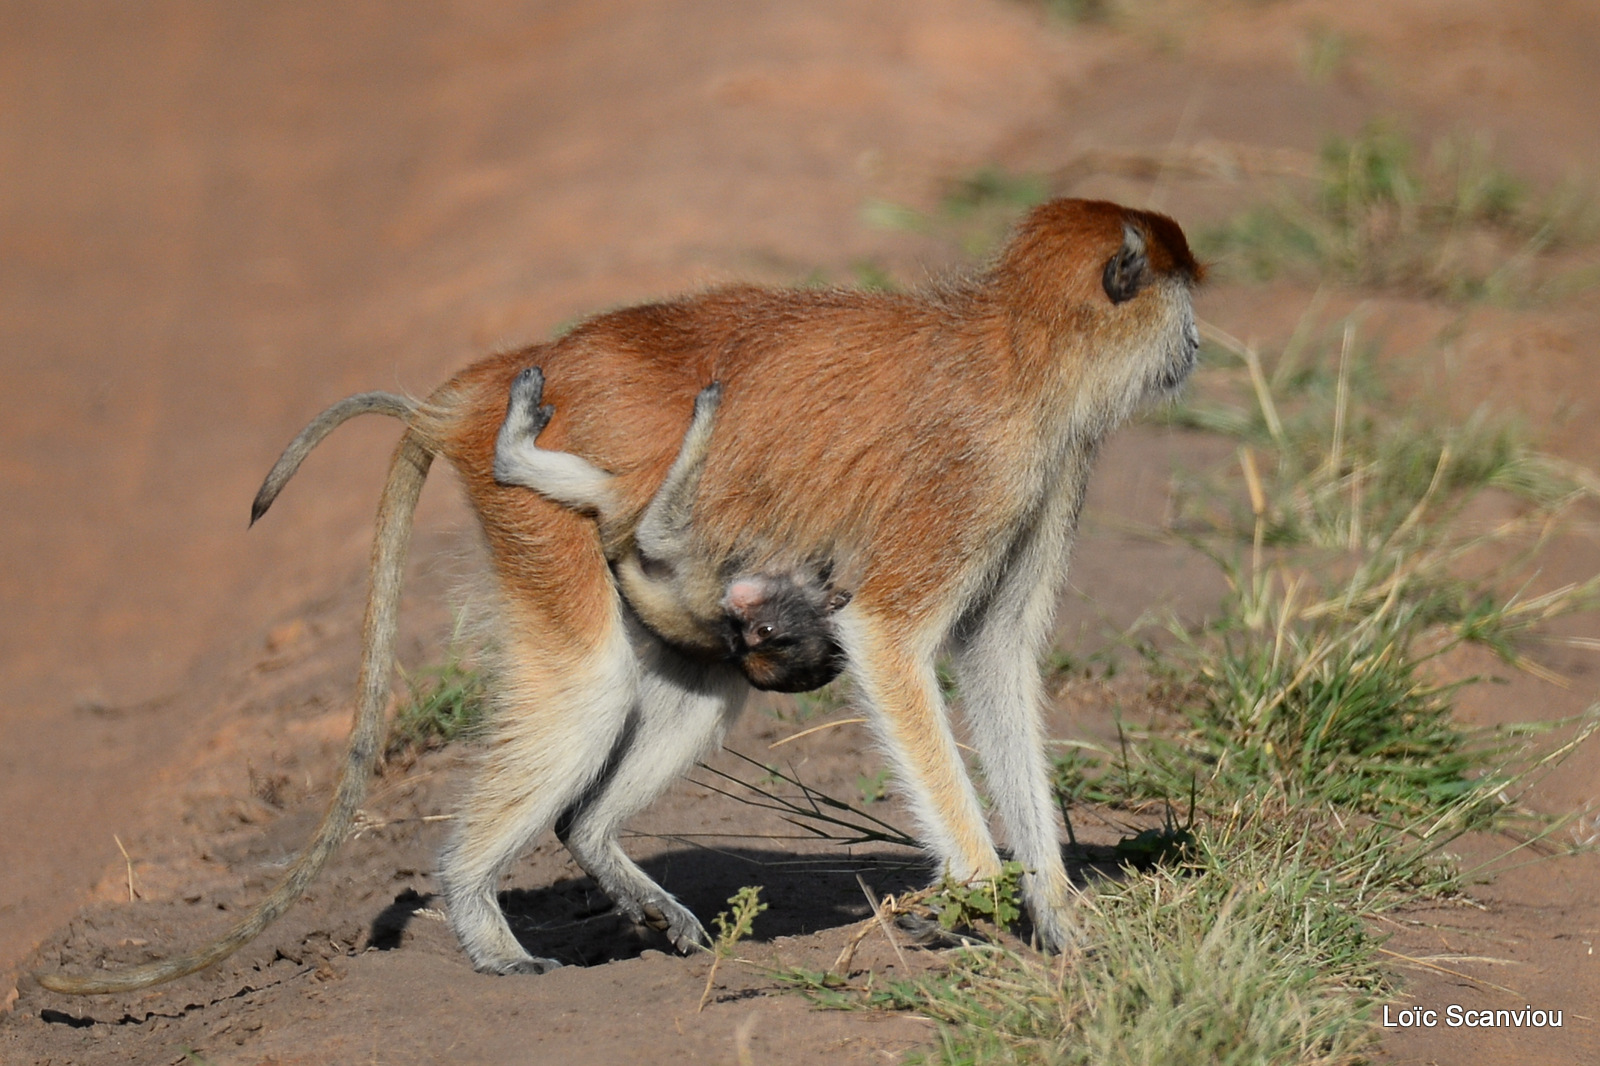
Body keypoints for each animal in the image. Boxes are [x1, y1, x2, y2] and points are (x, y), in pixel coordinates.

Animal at [496, 364, 851, 694]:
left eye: (759, 632)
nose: (738, 606)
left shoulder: (710, 585)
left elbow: (656, 537)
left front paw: (706, 417)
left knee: (612, 503)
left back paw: (510, 455)